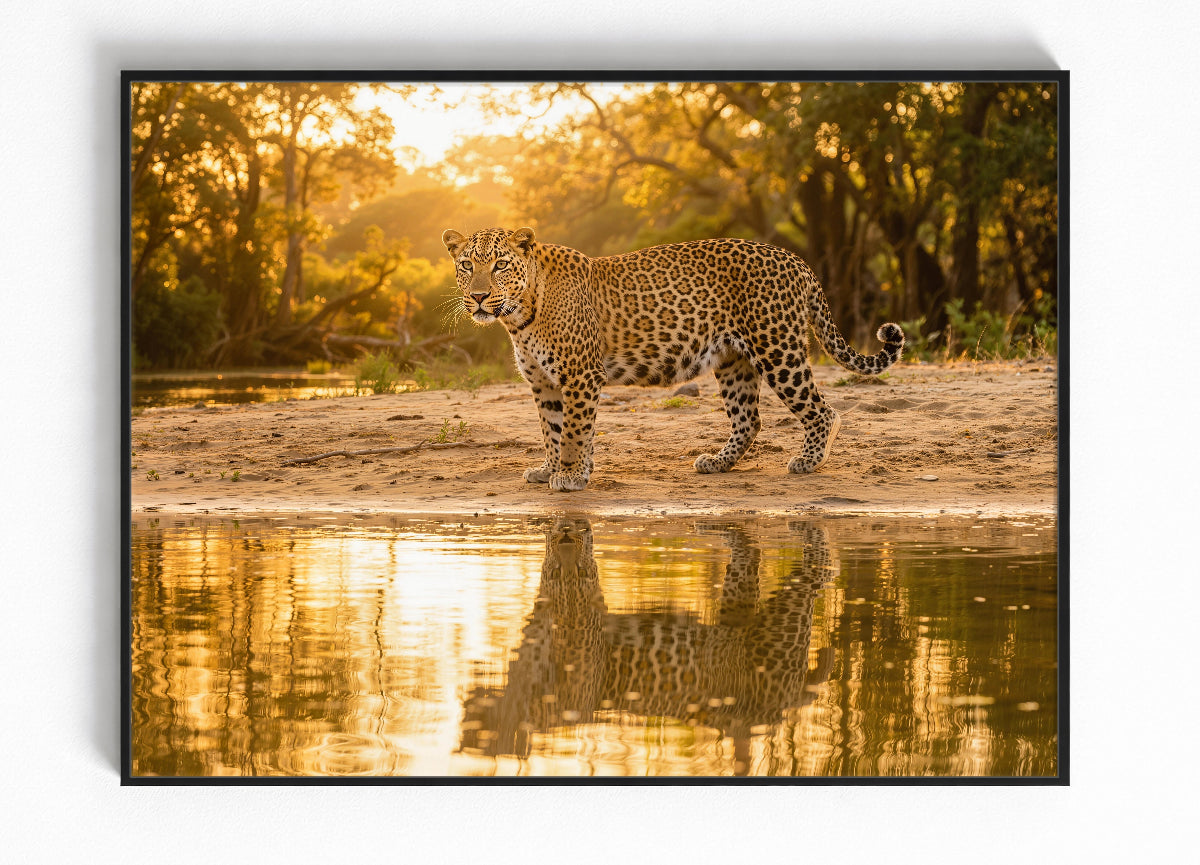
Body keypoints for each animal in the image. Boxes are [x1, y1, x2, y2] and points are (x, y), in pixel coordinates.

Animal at [442, 226, 904, 492]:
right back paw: (718, 463)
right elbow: (552, 431)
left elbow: (574, 431)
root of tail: (796, 260)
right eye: (466, 264)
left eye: (500, 265)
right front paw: (551, 468)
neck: (519, 315)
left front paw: (570, 476)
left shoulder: (580, 376)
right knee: (749, 419)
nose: (478, 296)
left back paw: (808, 460)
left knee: (822, 410)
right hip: (733, 359)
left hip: (777, 348)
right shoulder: (545, 383)